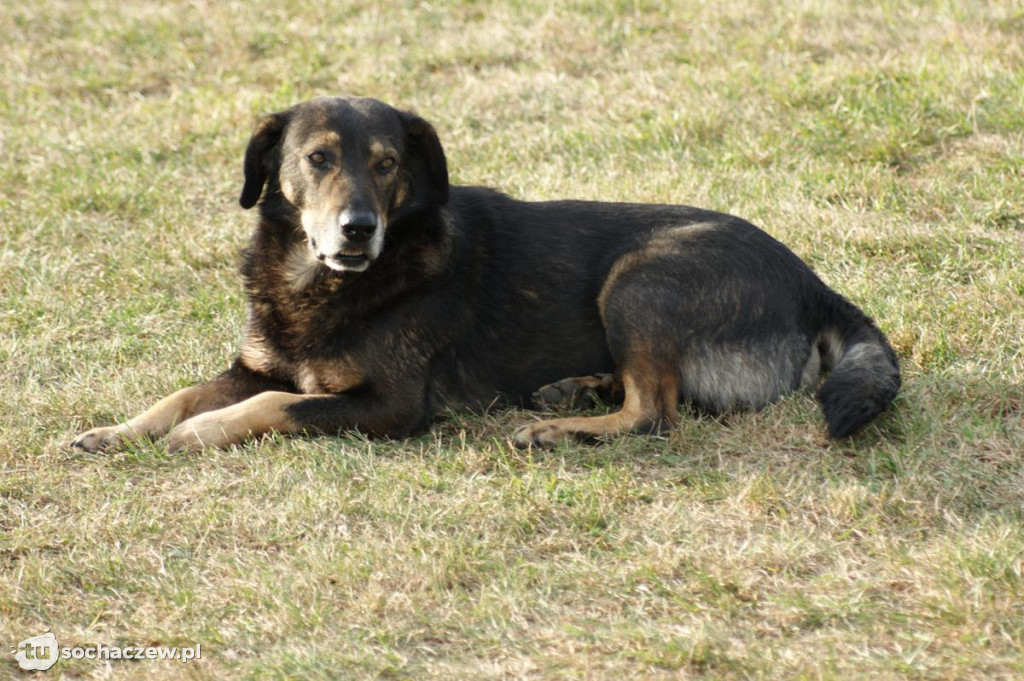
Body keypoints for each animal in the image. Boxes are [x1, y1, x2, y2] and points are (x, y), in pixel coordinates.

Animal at [72, 91, 901, 450]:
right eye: (318, 159)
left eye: (387, 164)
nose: (358, 228)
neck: (325, 283)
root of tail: (813, 284)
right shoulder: (252, 364)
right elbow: (183, 393)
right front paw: (117, 430)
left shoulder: (391, 405)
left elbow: (272, 405)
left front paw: (200, 431)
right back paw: (574, 388)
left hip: (641, 277)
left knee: (656, 413)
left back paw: (556, 424)